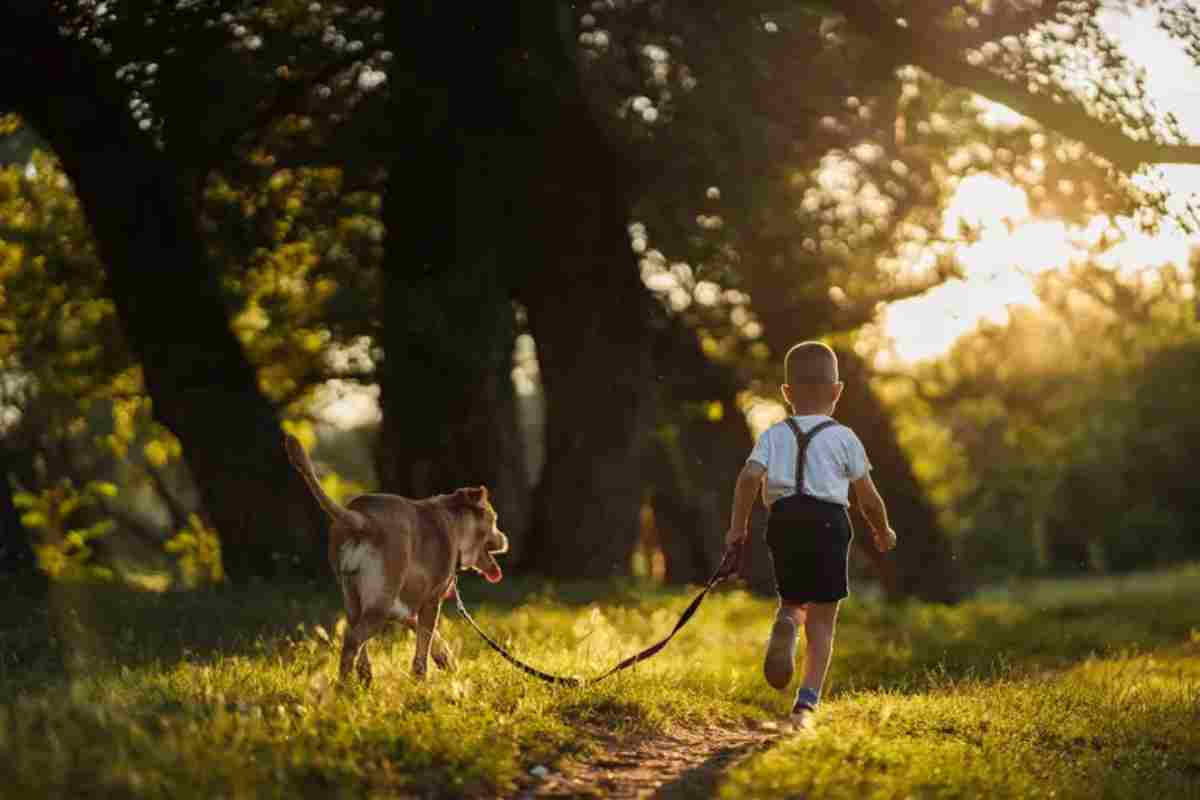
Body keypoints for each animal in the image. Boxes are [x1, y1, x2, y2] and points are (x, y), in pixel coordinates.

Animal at [283, 434, 508, 686]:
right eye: (495, 520)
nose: (505, 539)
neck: (454, 521)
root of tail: (363, 520)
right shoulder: (430, 601)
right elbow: (424, 643)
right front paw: (420, 679)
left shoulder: (403, 606)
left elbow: (430, 637)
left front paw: (445, 658)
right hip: (378, 606)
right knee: (352, 640)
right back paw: (344, 685)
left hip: (353, 598)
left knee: (355, 638)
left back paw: (363, 677)